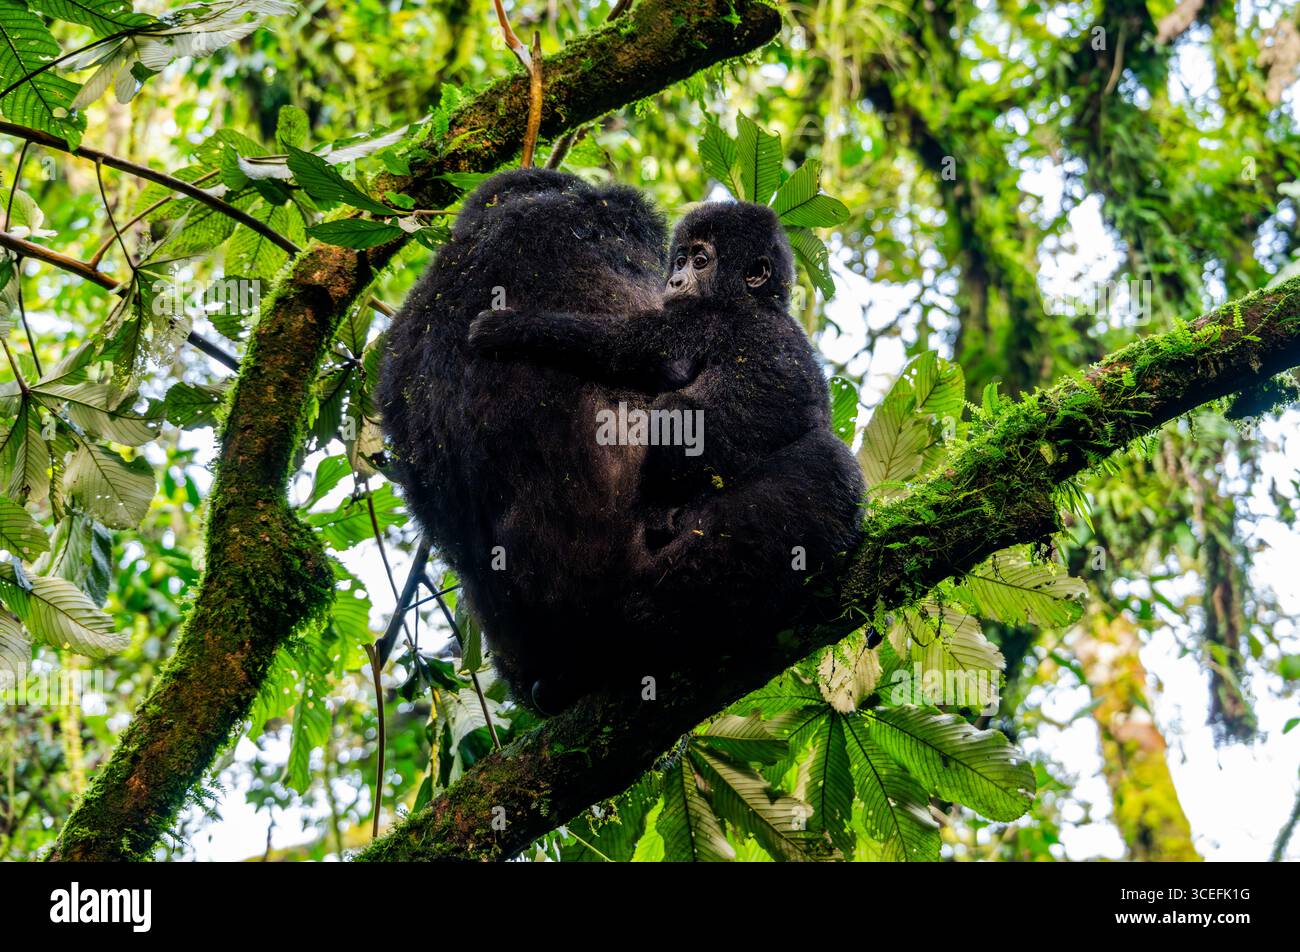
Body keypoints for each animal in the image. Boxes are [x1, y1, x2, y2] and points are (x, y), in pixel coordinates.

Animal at [468, 202, 866, 701]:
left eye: (700, 261)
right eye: (678, 260)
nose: (674, 281)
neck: (753, 300)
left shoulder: (696, 320)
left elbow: (623, 348)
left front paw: (509, 327)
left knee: (678, 411)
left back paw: (664, 511)